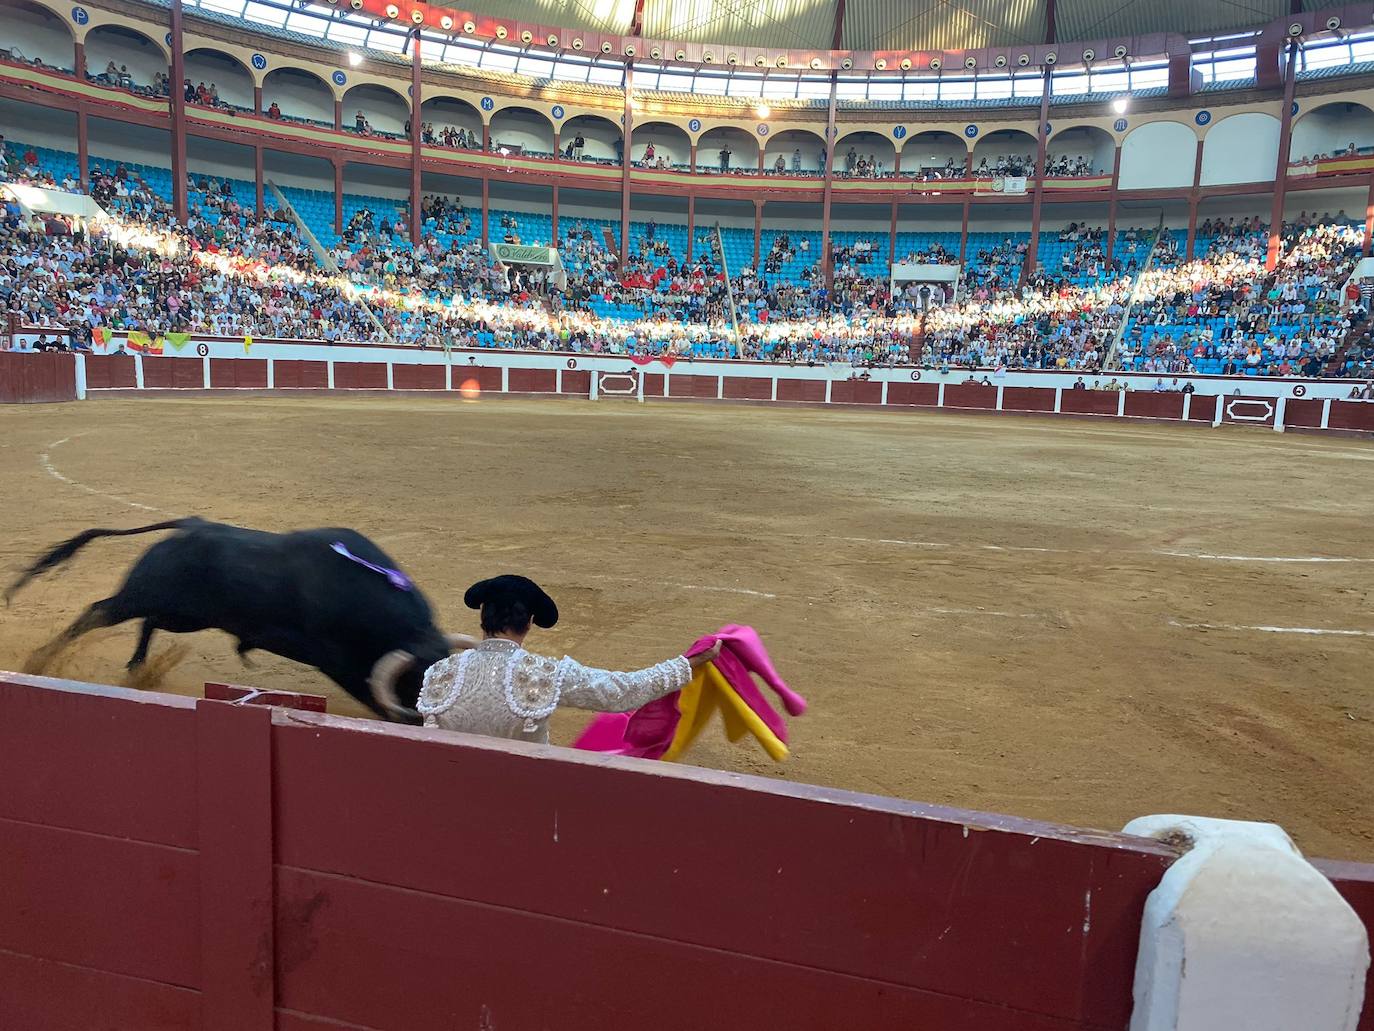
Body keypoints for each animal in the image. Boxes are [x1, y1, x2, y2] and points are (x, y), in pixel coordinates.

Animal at [4, 519, 456, 720]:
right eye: (420, 681)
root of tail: (189, 526)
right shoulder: (336, 660)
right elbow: (370, 694)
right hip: (141, 597)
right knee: (98, 610)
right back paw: (40, 660)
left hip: (185, 616)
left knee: (147, 623)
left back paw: (139, 669)